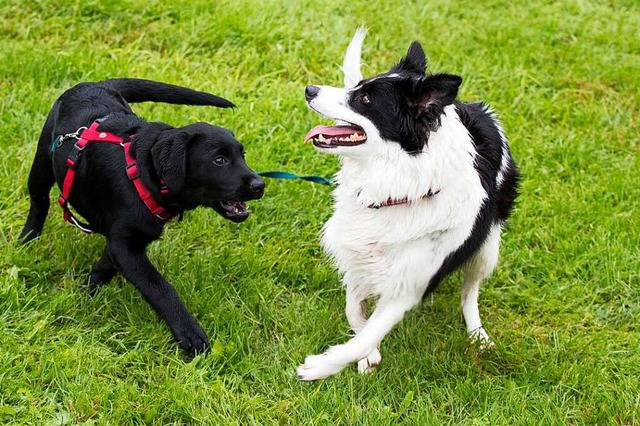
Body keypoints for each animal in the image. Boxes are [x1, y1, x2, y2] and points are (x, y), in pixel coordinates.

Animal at [20, 79, 264, 352]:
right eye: (219, 160)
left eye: (242, 156)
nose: (260, 185)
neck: (145, 173)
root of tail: (92, 84)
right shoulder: (126, 247)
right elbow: (159, 288)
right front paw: (190, 333)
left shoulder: (122, 242)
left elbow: (104, 267)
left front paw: (87, 292)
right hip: (42, 161)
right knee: (39, 201)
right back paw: (26, 240)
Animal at [298, 30, 516, 382]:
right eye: (358, 87)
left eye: (365, 100)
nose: (310, 89)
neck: (398, 188)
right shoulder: (358, 256)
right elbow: (355, 313)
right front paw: (367, 355)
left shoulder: (407, 285)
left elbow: (366, 334)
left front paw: (320, 367)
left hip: (487, 248)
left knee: (470, 291)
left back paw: (478, 335)